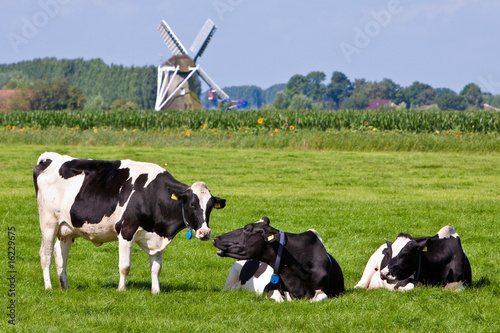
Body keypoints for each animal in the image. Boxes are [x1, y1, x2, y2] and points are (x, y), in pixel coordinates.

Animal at [32, 152, 225, 292]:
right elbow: (125, 266)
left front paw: (156, 291)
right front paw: (121, 289)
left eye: (210, 207)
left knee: (60, 255)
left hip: (67, 229)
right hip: (48, 223)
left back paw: (64, 286)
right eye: (192, 204)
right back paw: (49, 287)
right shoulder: (126, 230)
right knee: (45, 254)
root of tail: (49, 157)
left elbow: (156, 267)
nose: (205, 233)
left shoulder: (157, 235)